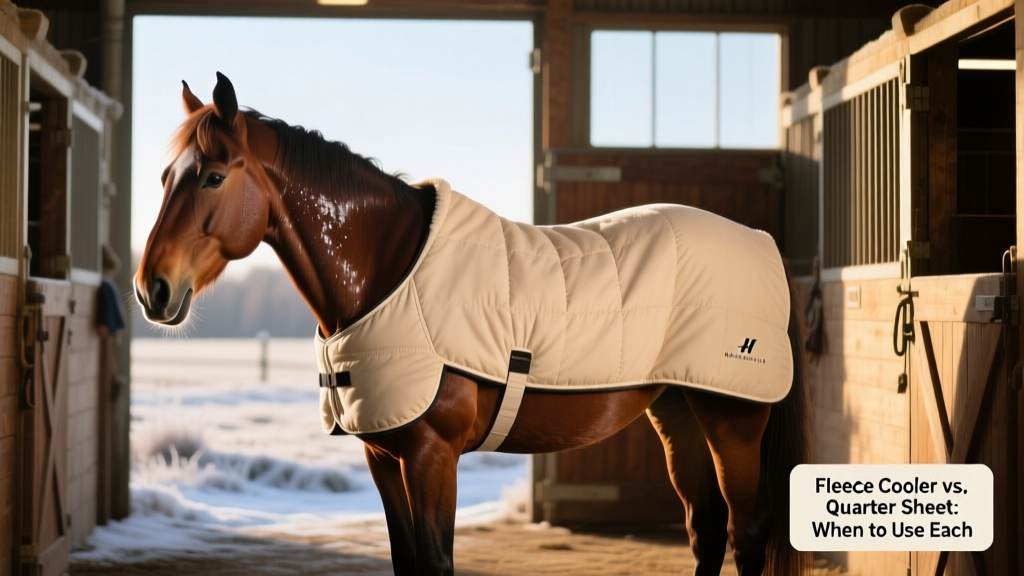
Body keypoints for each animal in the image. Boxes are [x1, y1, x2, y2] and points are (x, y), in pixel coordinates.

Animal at [134, 72, 810, 576]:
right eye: (166, 177)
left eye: (214, 176)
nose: (151, 289)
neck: (390, 272)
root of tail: (761, 242)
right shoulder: (383, 457)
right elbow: (406, 560)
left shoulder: (433, 455)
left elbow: (436, 562)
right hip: (678, 414)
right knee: (707, 529)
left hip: (733, 422)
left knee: (747, 532)